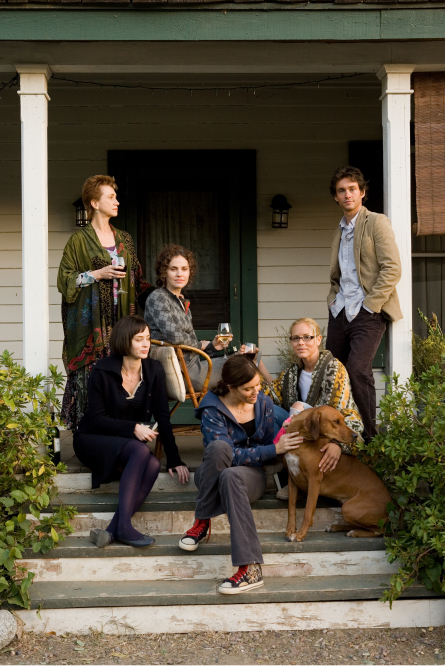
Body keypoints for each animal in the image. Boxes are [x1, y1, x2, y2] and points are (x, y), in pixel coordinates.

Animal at [282, 404, 390, 540]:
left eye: (343, 420)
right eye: (336, 421)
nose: (355, 436)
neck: (302, 439)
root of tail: (391, 503)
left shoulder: (314, 480)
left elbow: (308, 511)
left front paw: (300, 535)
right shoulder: (292, 477)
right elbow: (291, 507)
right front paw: (290, 530)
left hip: (348, 508)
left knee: (380, 531)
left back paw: (355, 532)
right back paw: (337, 527)